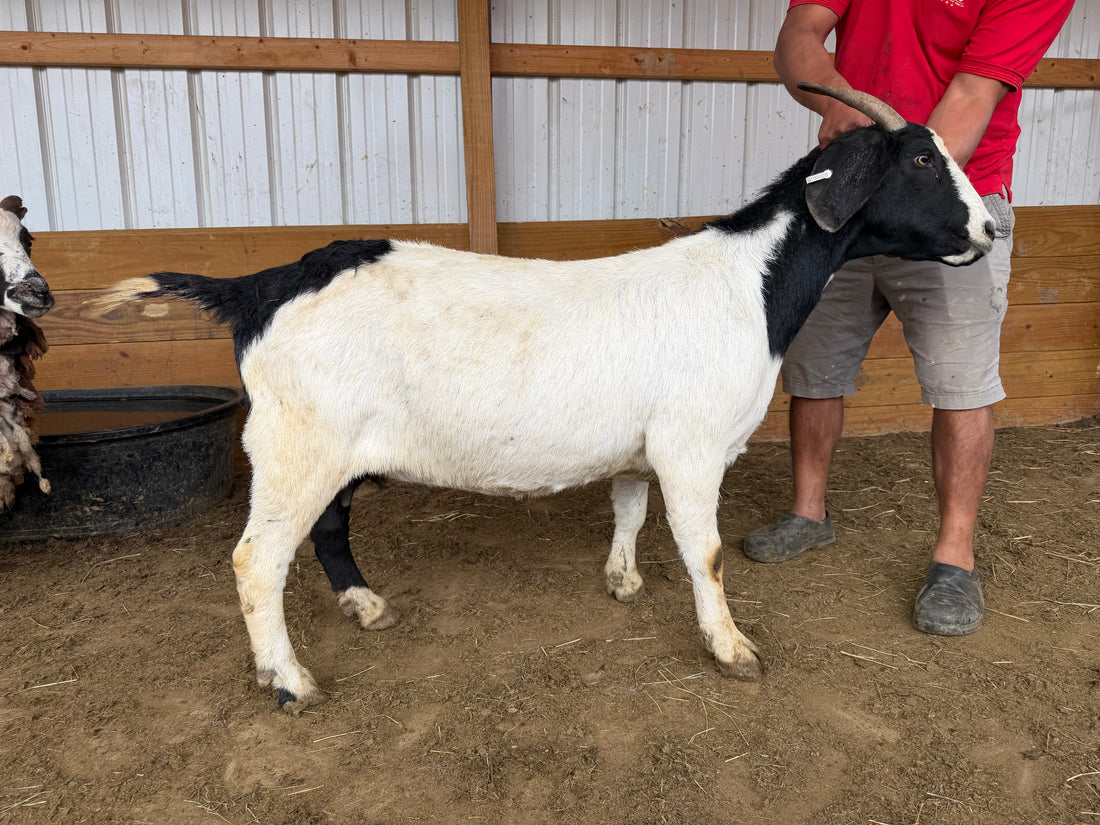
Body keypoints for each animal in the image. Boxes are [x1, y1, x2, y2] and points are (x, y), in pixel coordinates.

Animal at [94, 85, 994, 714]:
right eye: (920, 162)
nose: (990, 231)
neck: (748, 284)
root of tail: (257, 287)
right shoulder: (693, 445)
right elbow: (704, 551)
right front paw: (732, 648)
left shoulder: (644, 445)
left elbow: (629, 507)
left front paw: (623, 581)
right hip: (295, 442)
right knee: (256, 557)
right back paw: (288, 679)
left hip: (331, 448)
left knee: (327, 526)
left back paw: (365, 604)